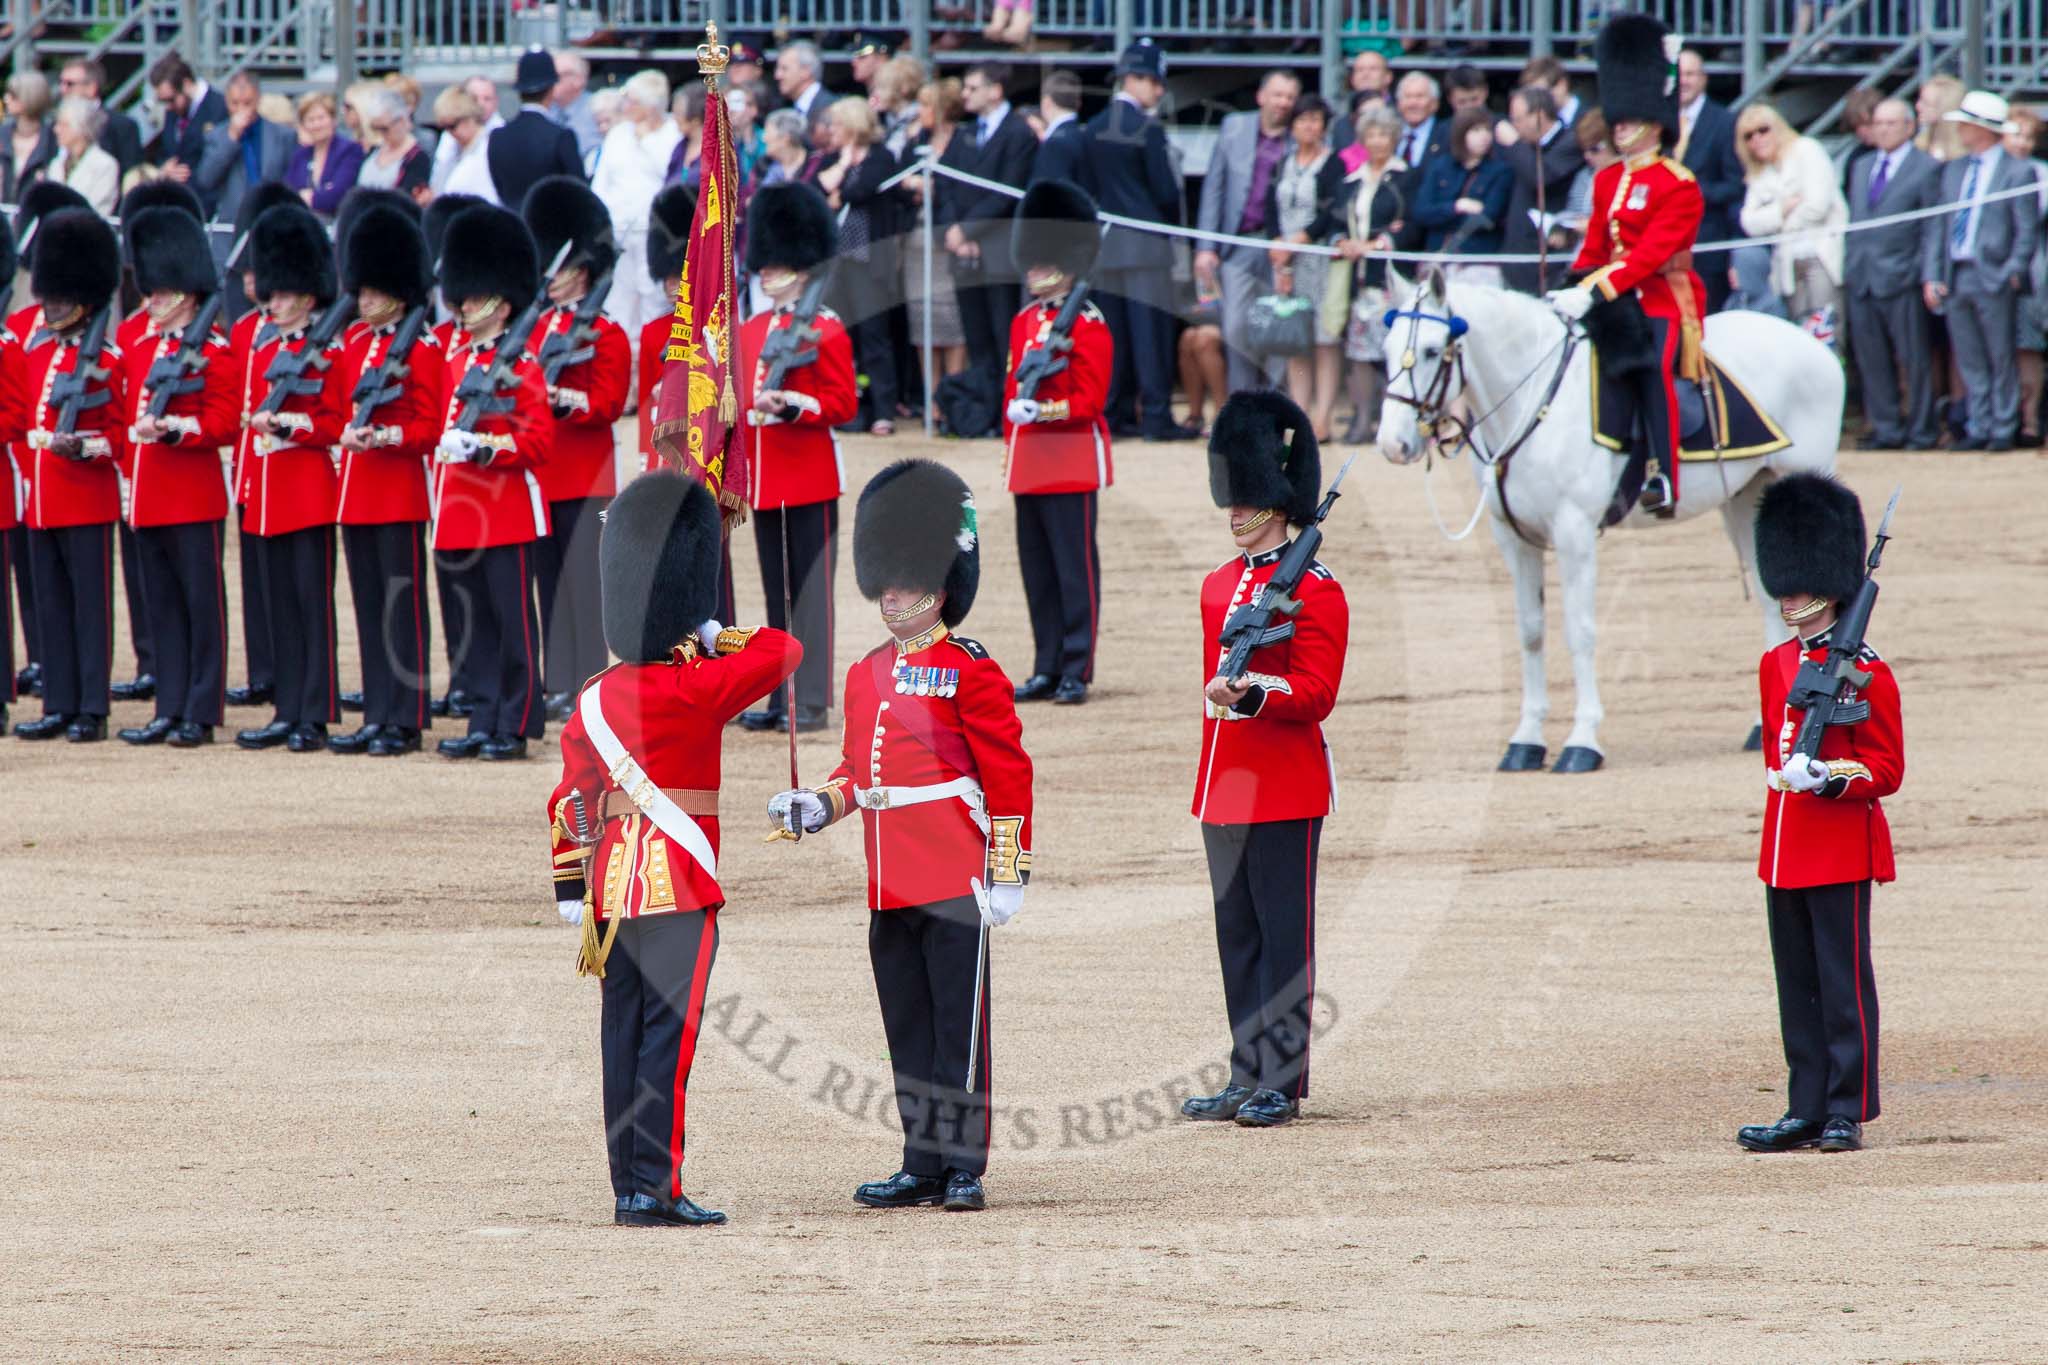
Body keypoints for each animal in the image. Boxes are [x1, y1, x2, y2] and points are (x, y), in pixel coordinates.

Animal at [1376, 270, 1843, 769]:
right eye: (1385, 348)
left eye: (1431, 350)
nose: (1392, 444)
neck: (1533, 401)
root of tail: (1815, 345)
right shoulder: (1514, 539)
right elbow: (1531, 632)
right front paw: (1526, 739)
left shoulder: (1574, 532)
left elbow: (1579, 632)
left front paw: (1582, 739)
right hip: (1745, 499)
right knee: (1771, 598)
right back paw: (1763, 725)